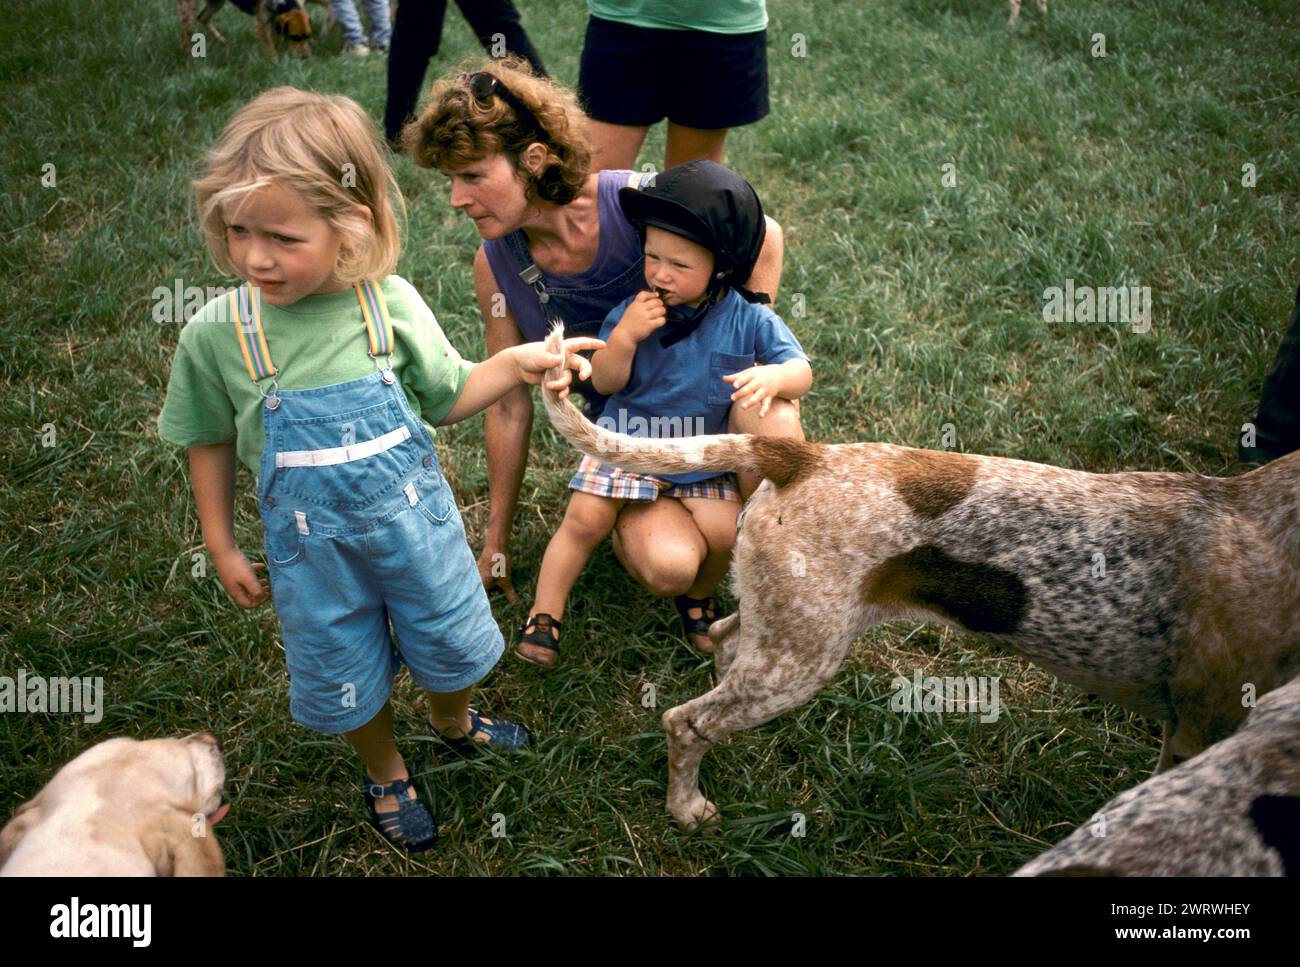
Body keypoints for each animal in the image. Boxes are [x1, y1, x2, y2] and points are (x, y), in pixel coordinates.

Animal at [178, 0, 330, 56]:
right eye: (295, 37)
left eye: (308, 36)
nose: (306, 57)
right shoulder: (262, 23)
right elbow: (271, 49)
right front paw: (275, 63)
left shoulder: (273, 22)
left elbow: (276, 42)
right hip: (189, 9)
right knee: (186, 34)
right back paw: (189, 59)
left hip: (216, 2)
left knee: (203, 17)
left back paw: (222, 41)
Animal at [538, 324, 1300, 831]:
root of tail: (803, 455)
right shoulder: (1204, 731)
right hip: (799, 660)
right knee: (686, 721)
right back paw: (686, 807)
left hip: (780, 633)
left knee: (722, 646)